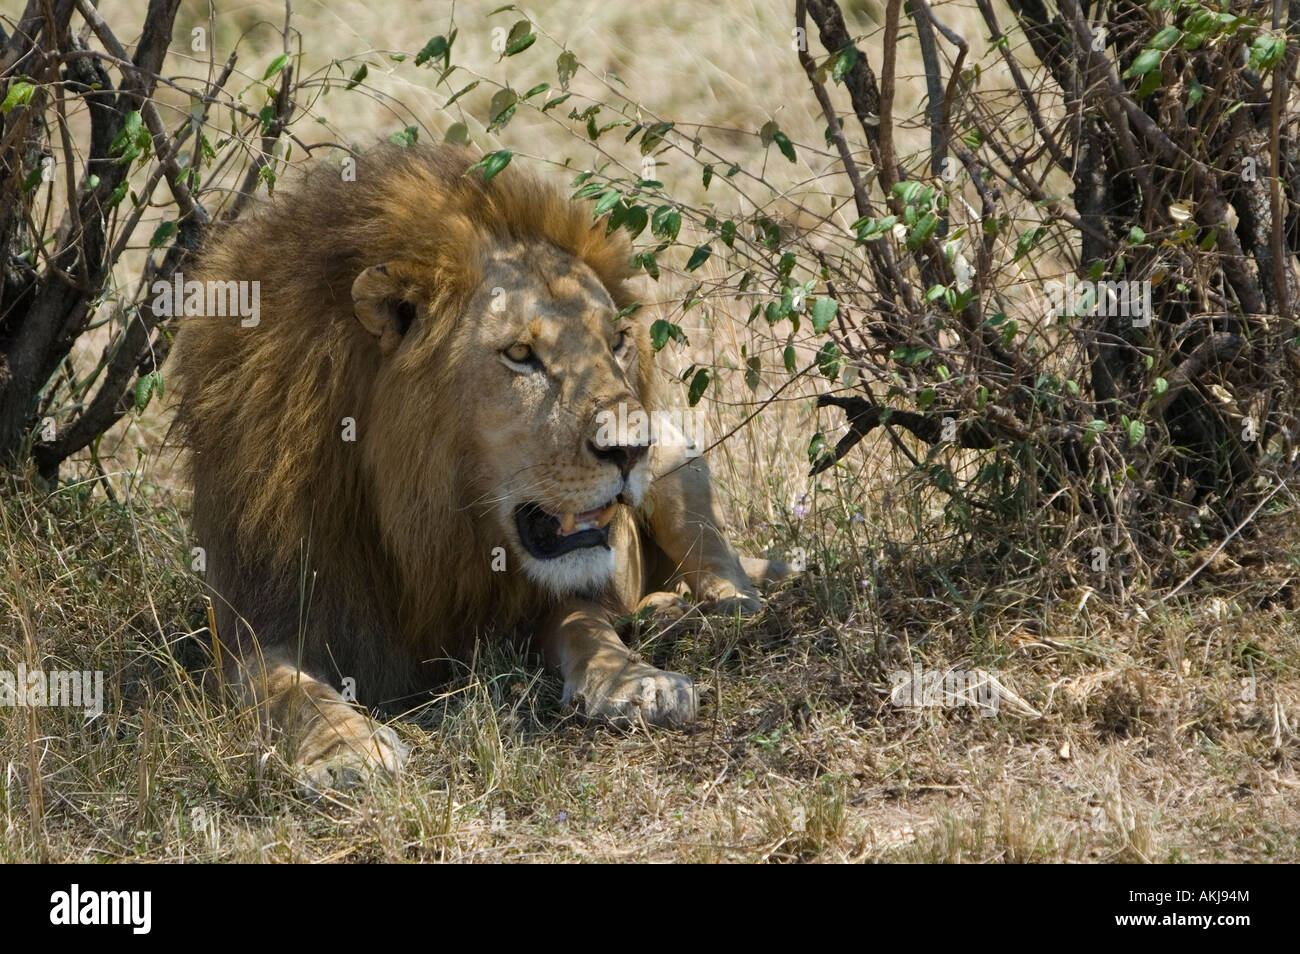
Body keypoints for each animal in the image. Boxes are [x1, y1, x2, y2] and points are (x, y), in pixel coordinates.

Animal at [172, 143, 785, 787]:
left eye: (617, 341)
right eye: (519, 354)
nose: (629, 448)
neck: (428, 524)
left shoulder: (546, 596)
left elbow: (589, 628)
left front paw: (635, 681)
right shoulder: (256, 620)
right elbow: (290, 690)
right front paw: (345, 747)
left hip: (679, 465)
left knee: (727, 578)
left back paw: (699, 613)